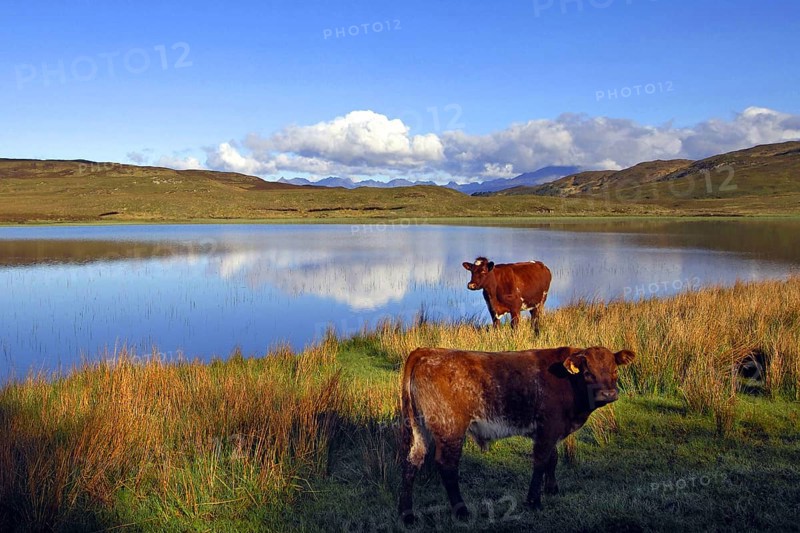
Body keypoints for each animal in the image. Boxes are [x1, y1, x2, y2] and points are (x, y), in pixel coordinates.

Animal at [397, 345, 635, 524]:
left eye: (615, 371)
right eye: (588, 373)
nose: (608, 394)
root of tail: (427, 351)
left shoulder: (551, 430)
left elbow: (553, 458)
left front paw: (552, 489)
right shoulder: (548, 428)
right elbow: (541, 461)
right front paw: (534, 501)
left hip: (419, 428)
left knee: (412, 461)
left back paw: (407, 515)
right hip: (450, 429)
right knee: (447, 466)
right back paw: (462, 511)